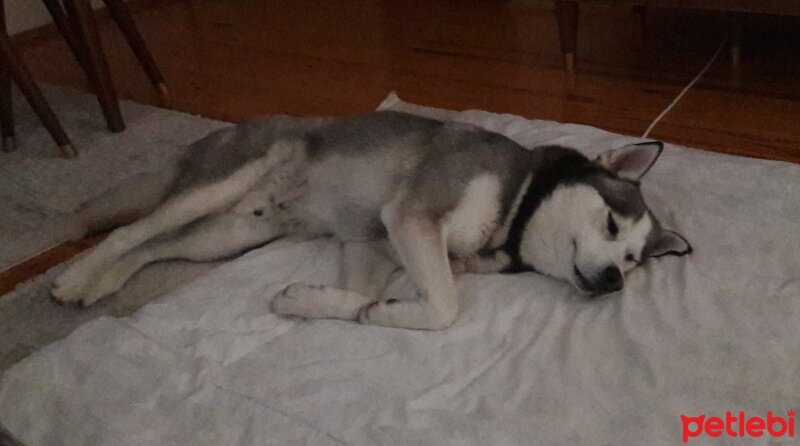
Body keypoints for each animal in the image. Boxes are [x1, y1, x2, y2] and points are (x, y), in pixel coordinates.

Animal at [51, 110, 688, 330]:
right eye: (612, 225)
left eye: (634, 262)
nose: (615, 281)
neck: (515, 210)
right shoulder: (410, 216)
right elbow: (445, 307)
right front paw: (391, 311)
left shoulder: (374, 244)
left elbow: (360, 294)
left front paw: (327, 304)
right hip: (220, 185)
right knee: (134, 230)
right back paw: (75, 276)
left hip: (229, 235)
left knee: (156, 246)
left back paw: (103, 281)